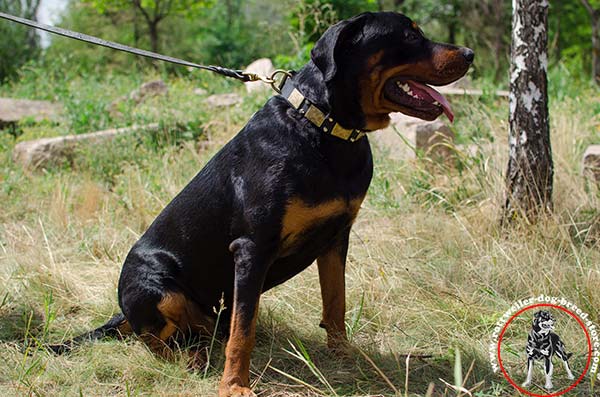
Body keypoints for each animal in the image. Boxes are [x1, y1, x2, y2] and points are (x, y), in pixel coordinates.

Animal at [49, 12, 474, 396]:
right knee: (153, 340)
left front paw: (345, 357)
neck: (324, 128)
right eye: (410, 35)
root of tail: (122, 311)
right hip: (155, 288)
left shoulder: (336, 237)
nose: (470, 53)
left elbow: (335, 304)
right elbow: (244, 331)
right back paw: (191, 360)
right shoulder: (251, 248)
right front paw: (234, 386)